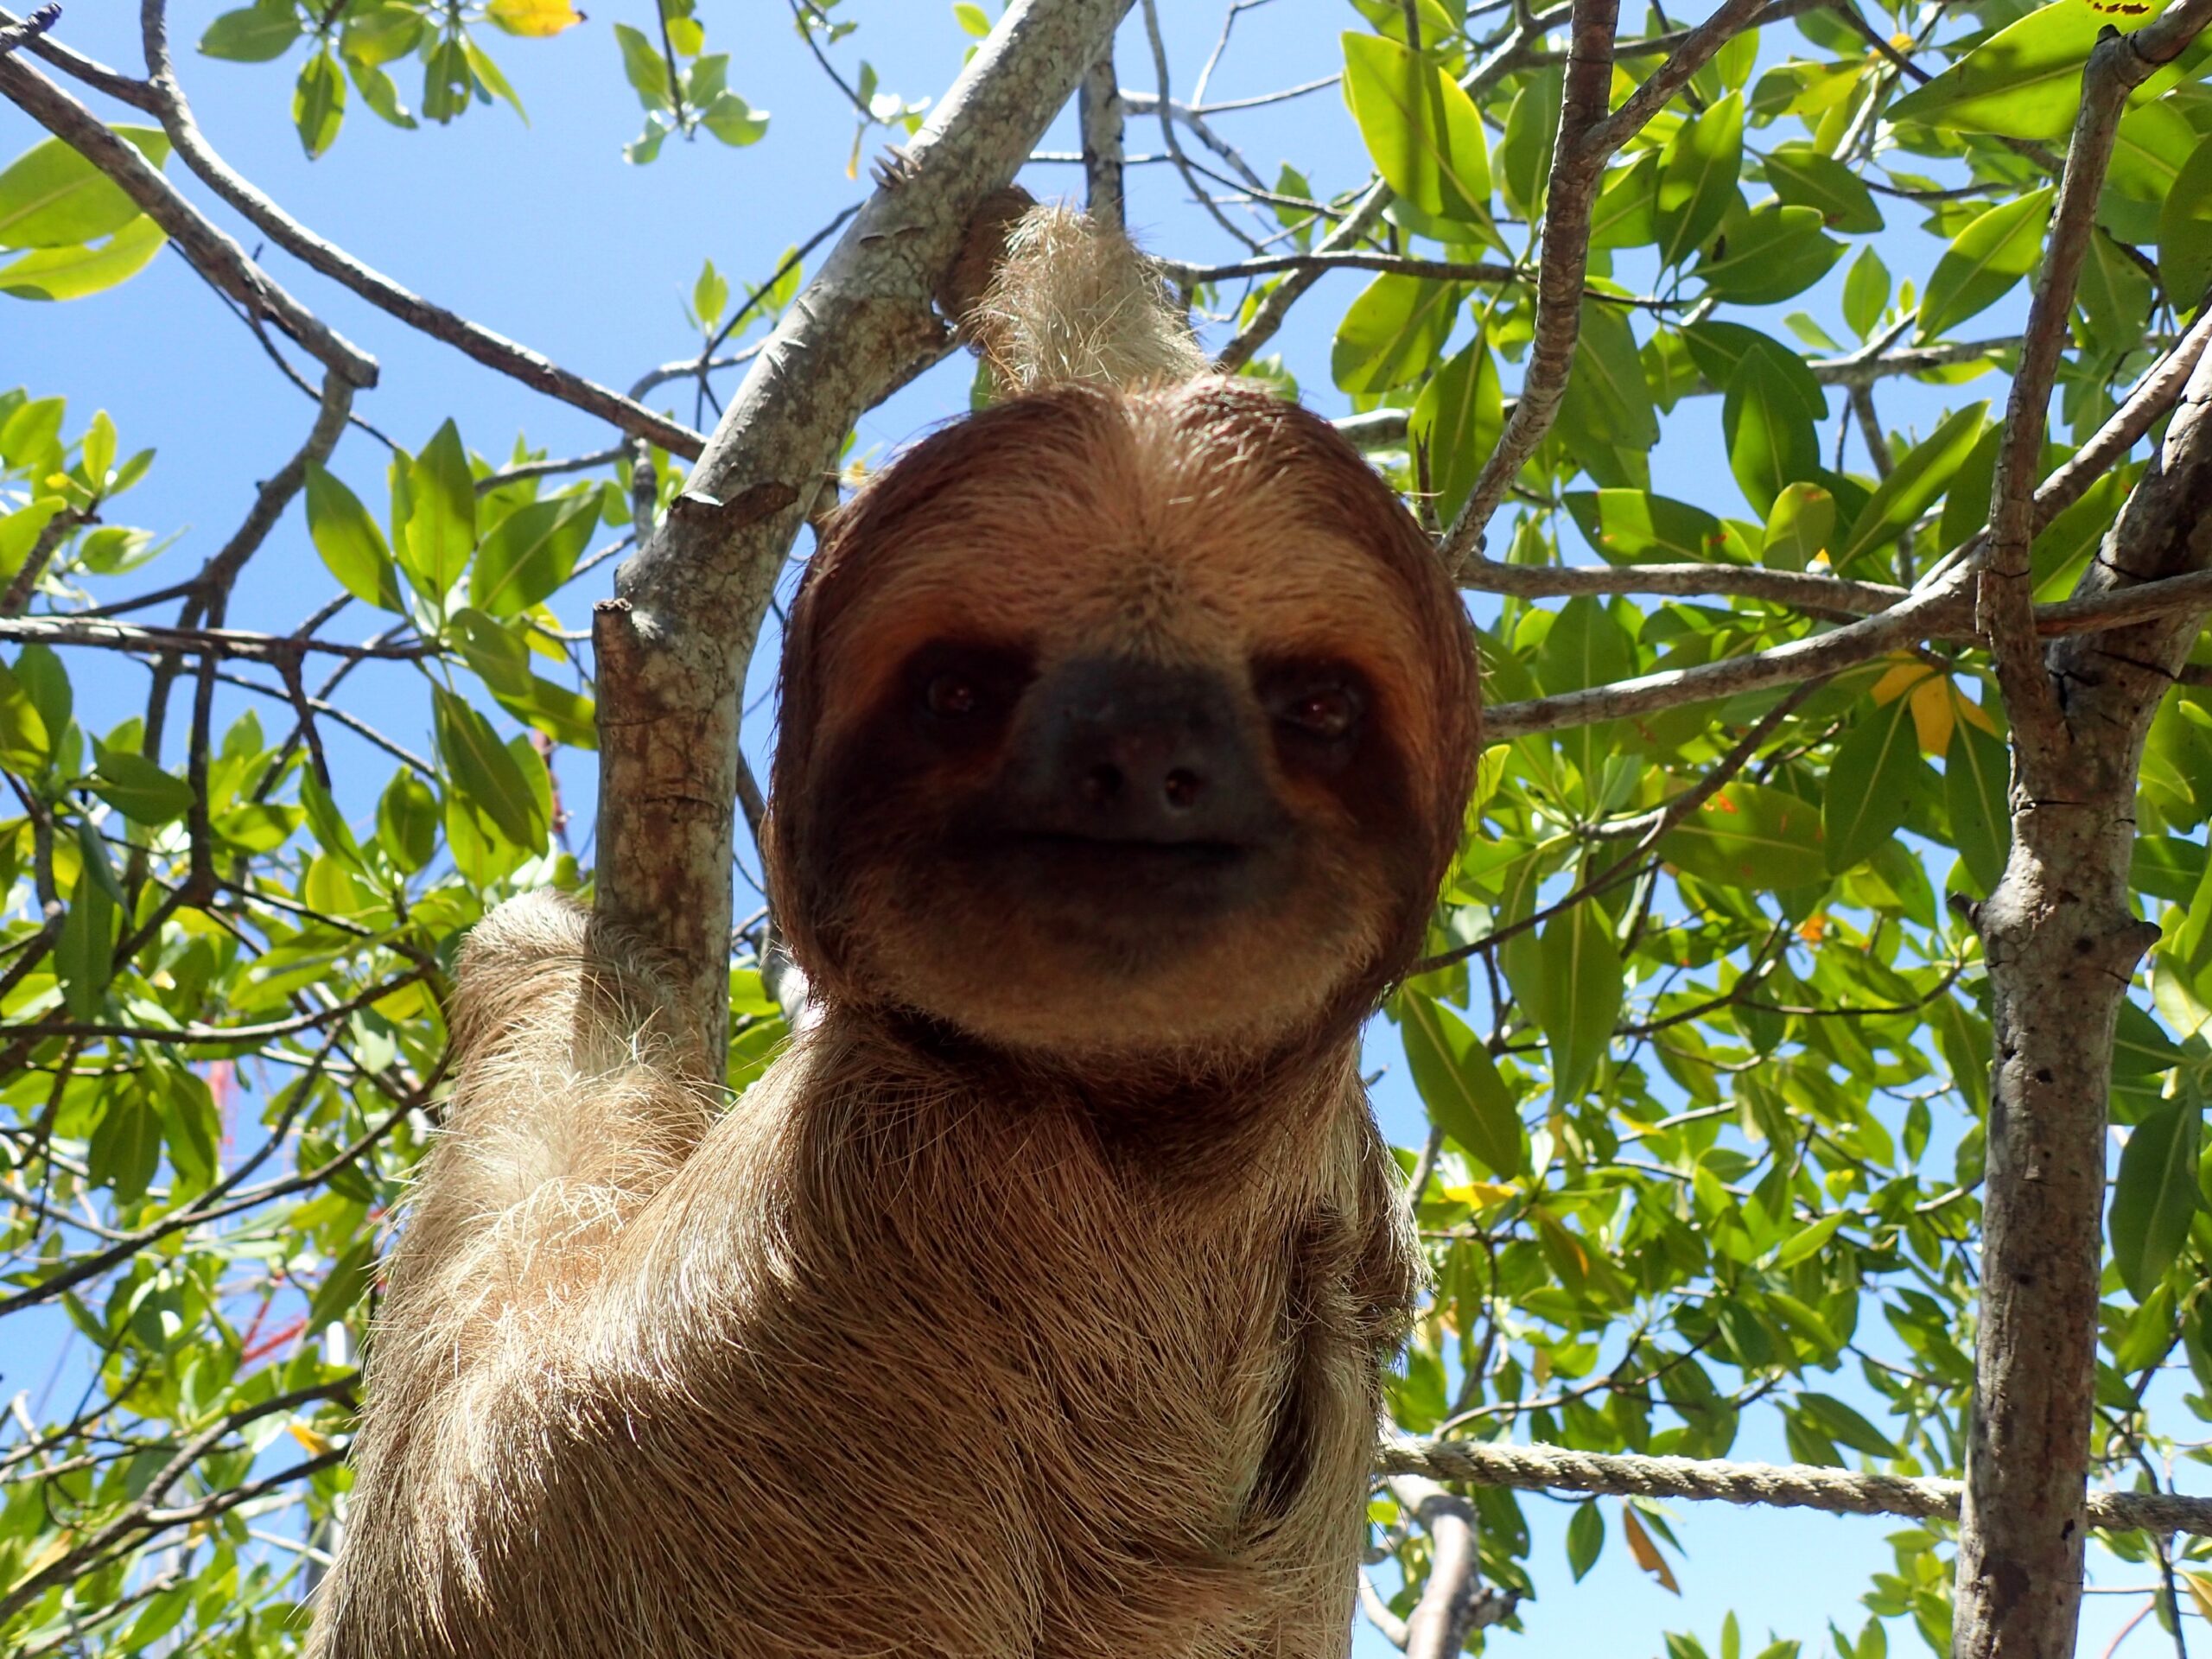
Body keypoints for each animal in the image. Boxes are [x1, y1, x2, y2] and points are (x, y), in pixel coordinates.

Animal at [306, 200, 1481, 1659]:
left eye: (1316, 705)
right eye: (959, 690)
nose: (1145, 748)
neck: (1140, 1131)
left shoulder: (851, 1232)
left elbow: (435, 1504)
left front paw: (538, 945)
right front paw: (1013, 244)